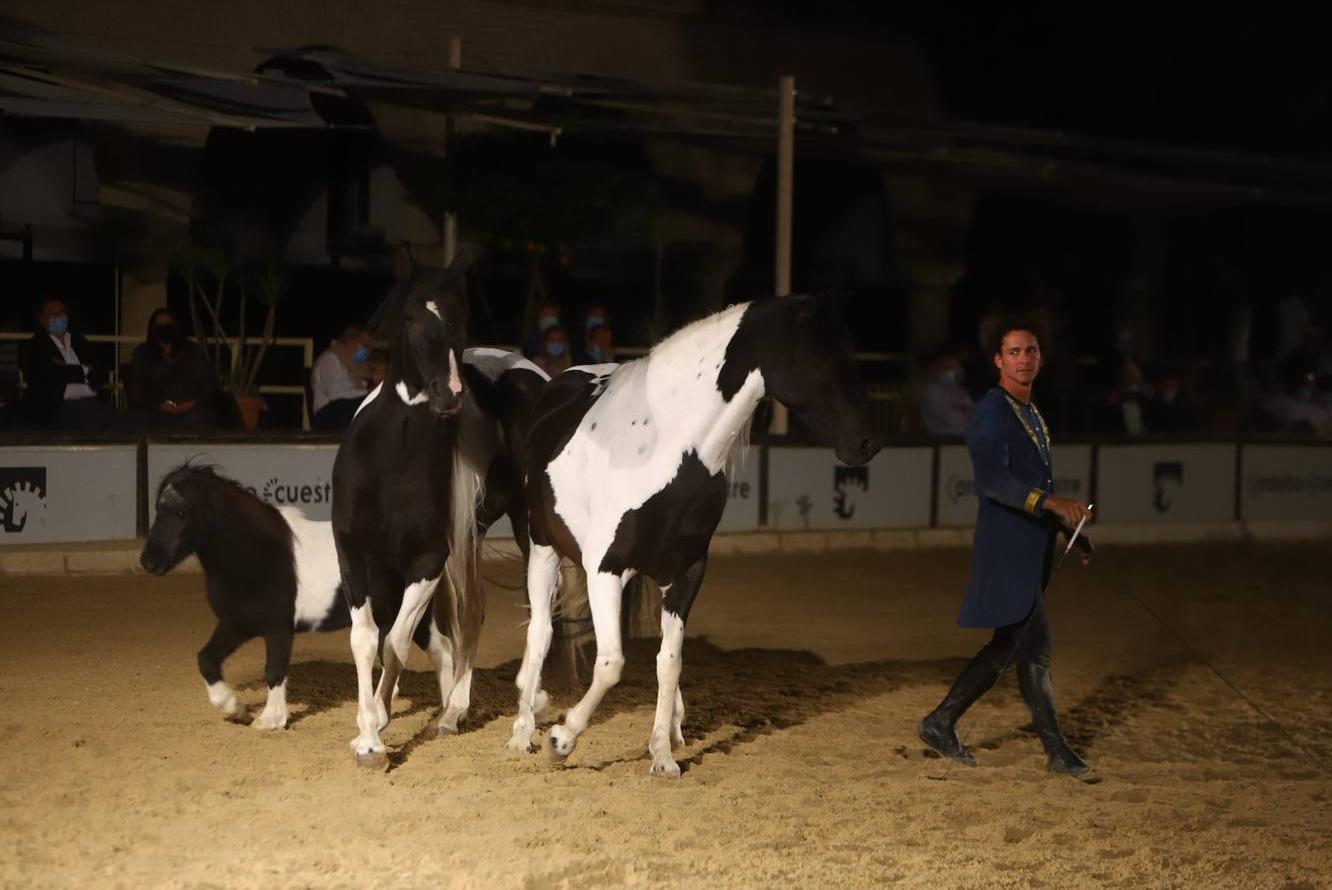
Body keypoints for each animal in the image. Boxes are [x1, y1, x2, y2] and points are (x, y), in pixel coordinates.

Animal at [503, 295, 879, 772]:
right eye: (821, 356)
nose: (868, 442)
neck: (667, 448)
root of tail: (557, 385)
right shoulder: (604, 570)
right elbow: (610, 663)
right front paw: (561, 738)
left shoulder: (685, 573)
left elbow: (670, 661)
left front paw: (662, 753)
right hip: (544, 549)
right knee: (540, 633)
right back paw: (523, 732)